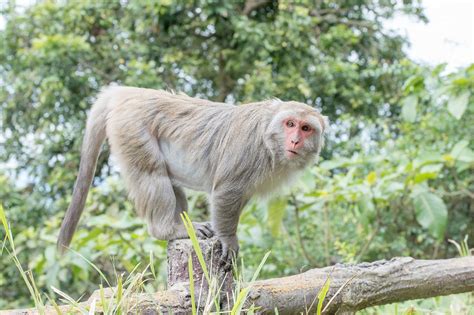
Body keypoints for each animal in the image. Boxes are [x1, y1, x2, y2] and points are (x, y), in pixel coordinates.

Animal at [57, 86, 328, 262]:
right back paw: (168, 229)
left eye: (305, 128)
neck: (270, 140)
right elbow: (227, 190)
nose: (294, 140)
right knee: (152, 175)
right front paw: (228, 238)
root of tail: (128, 92)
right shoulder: (249, 151)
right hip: (132, 129)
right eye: (290, 124)